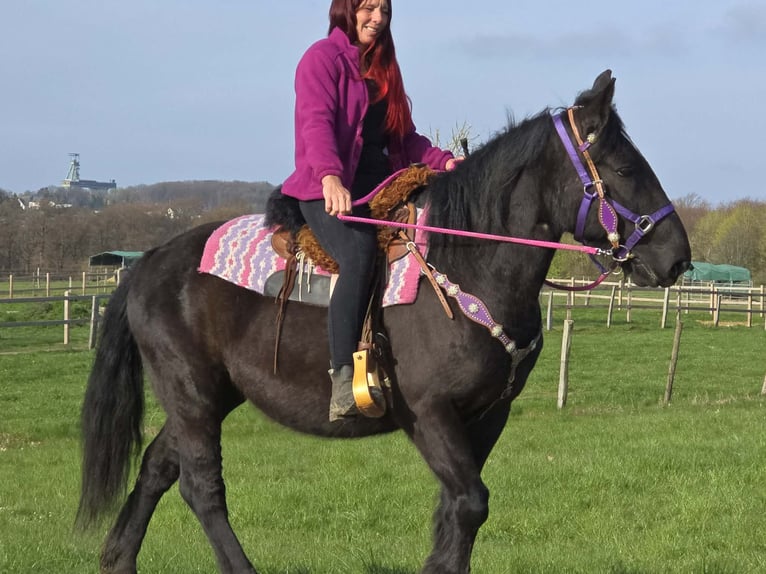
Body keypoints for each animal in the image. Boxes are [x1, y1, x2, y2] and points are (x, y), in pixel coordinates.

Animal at [76, 70, 691, 574]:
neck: (463, 262)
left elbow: (455, 512)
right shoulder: (429, 412)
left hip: (209, 394)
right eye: (624, 167)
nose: (677, 258)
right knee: (201, 487)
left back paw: (118, 559)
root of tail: (150, 260)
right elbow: (470, 504)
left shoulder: (487, 416)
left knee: (158, 468)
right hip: (193, 393)